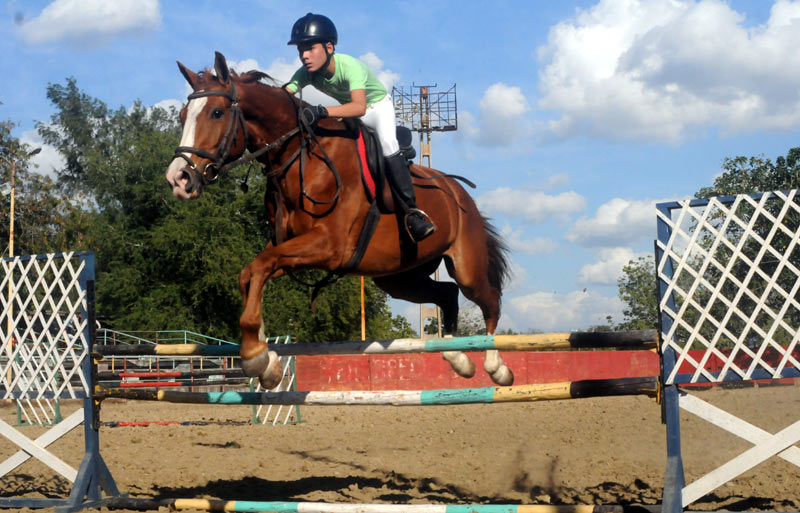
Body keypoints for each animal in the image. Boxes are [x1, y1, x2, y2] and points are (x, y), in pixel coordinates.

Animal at [165, 53, 512, 388]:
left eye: (217, 113)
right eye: (181, 116)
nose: (178, 179)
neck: (299, 156)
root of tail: (458, 192)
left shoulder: (328, 247)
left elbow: (260, 267)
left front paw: (254, 355)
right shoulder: (290, 247)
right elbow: (250, 274)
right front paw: (267, 361)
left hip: (466, 267)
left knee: (488, 301)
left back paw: (496, 367)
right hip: (399, 277)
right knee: (447, 295)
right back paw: (458, 358)